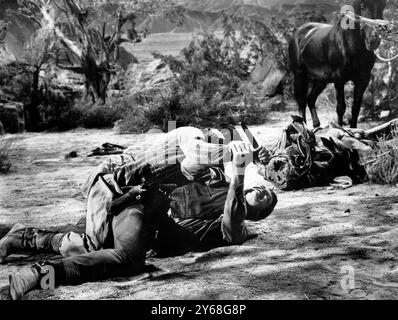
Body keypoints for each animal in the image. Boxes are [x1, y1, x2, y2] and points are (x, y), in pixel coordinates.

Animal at [290, 0, 388, 128]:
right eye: (362, 6)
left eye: (382, 5)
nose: (373, 40)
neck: (350, 45)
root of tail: (298, 32)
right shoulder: (339, 80)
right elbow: (341, 108)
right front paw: (340, 129)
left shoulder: (363, 80)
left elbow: (356, 108)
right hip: (300, 75)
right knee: (302, 102)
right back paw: (305, 128)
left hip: (321, 80)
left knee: (310, 99)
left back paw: (316, 125)